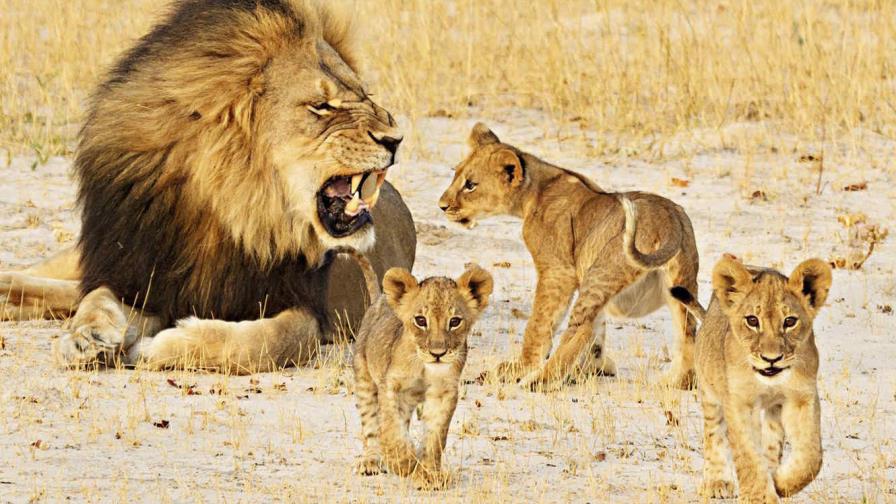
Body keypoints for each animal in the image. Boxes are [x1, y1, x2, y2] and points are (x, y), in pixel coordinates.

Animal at [0, 0, 415, 374]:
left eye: (364, 95)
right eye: (322, 106)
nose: (396, 139)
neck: (224, 208)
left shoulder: (307, 310)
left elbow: (262, 342)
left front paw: (156, 348)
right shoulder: (136, 271)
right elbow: (97, 300)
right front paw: (86, 337)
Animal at [352, 264, 493, 489]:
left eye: (454, 321)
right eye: (420, 320)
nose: (438, 353)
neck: (424, 368)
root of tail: (379, 299)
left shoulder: (444, 393)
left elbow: (435, 436)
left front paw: (428, 474)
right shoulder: (390, 386)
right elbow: (391, 428)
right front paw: (404, 463)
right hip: (364, 378)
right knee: (371, 426)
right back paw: (371, 461)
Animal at [437, 123, 699, 390]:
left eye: (471, 185)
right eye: (455, 174)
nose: (442, 205)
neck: (535, 190)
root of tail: (667, 218)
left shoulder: (557, 272)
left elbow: (540, 323)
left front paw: (520, 368)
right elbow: (598, 330)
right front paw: (593, 369)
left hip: (602, 273)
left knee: (580, 329)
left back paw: (538, 381)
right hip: (680, 283)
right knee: (688, 332)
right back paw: (676, 382)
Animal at [670, 256, 831, 502]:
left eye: (790, 321)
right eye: (752, 320)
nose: (771, 359)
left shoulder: (801, 398)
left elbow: (811, 457)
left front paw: (781, 483)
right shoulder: (739, 402)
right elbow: (747, 455)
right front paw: (759, 496)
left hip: (774, 409)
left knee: (772, 442)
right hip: (709, 391)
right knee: (713, 435)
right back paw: (717, 482)